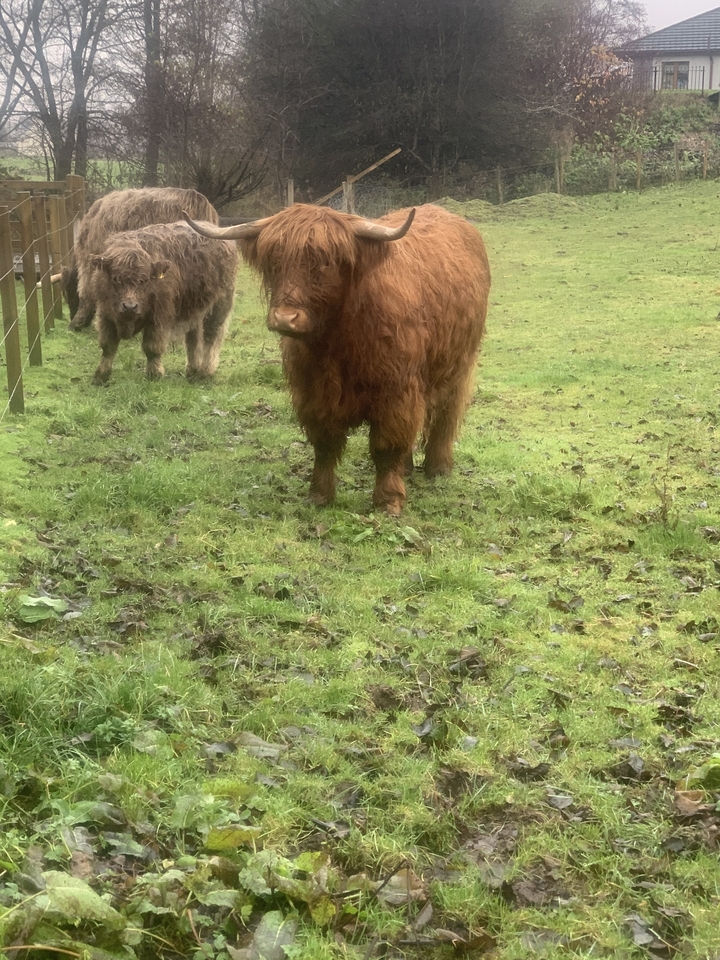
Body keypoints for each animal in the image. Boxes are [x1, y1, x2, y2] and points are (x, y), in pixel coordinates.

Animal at [89, 221, 238, 386]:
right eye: (116, 279)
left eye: (144, 280)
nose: (130, 307)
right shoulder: (106, 314)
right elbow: (107, 346)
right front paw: (100, 376)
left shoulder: (159, 316)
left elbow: (152, 347)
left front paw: (154, 374)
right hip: (196, 309)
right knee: (193, 338)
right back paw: (193, 370)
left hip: (220, 304)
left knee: (211, 336)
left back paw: (205, 372)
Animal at [184, 203, 490, 516]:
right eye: (273, 261)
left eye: (326, 262)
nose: (285, 318)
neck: (337, 342)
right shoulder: (312, 392)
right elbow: (325, 444)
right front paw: (319, 495)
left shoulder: (397, 392)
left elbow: (387, 445)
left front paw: (388, 500)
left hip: (458, 367)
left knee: (445, 416)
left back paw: (438, 468)